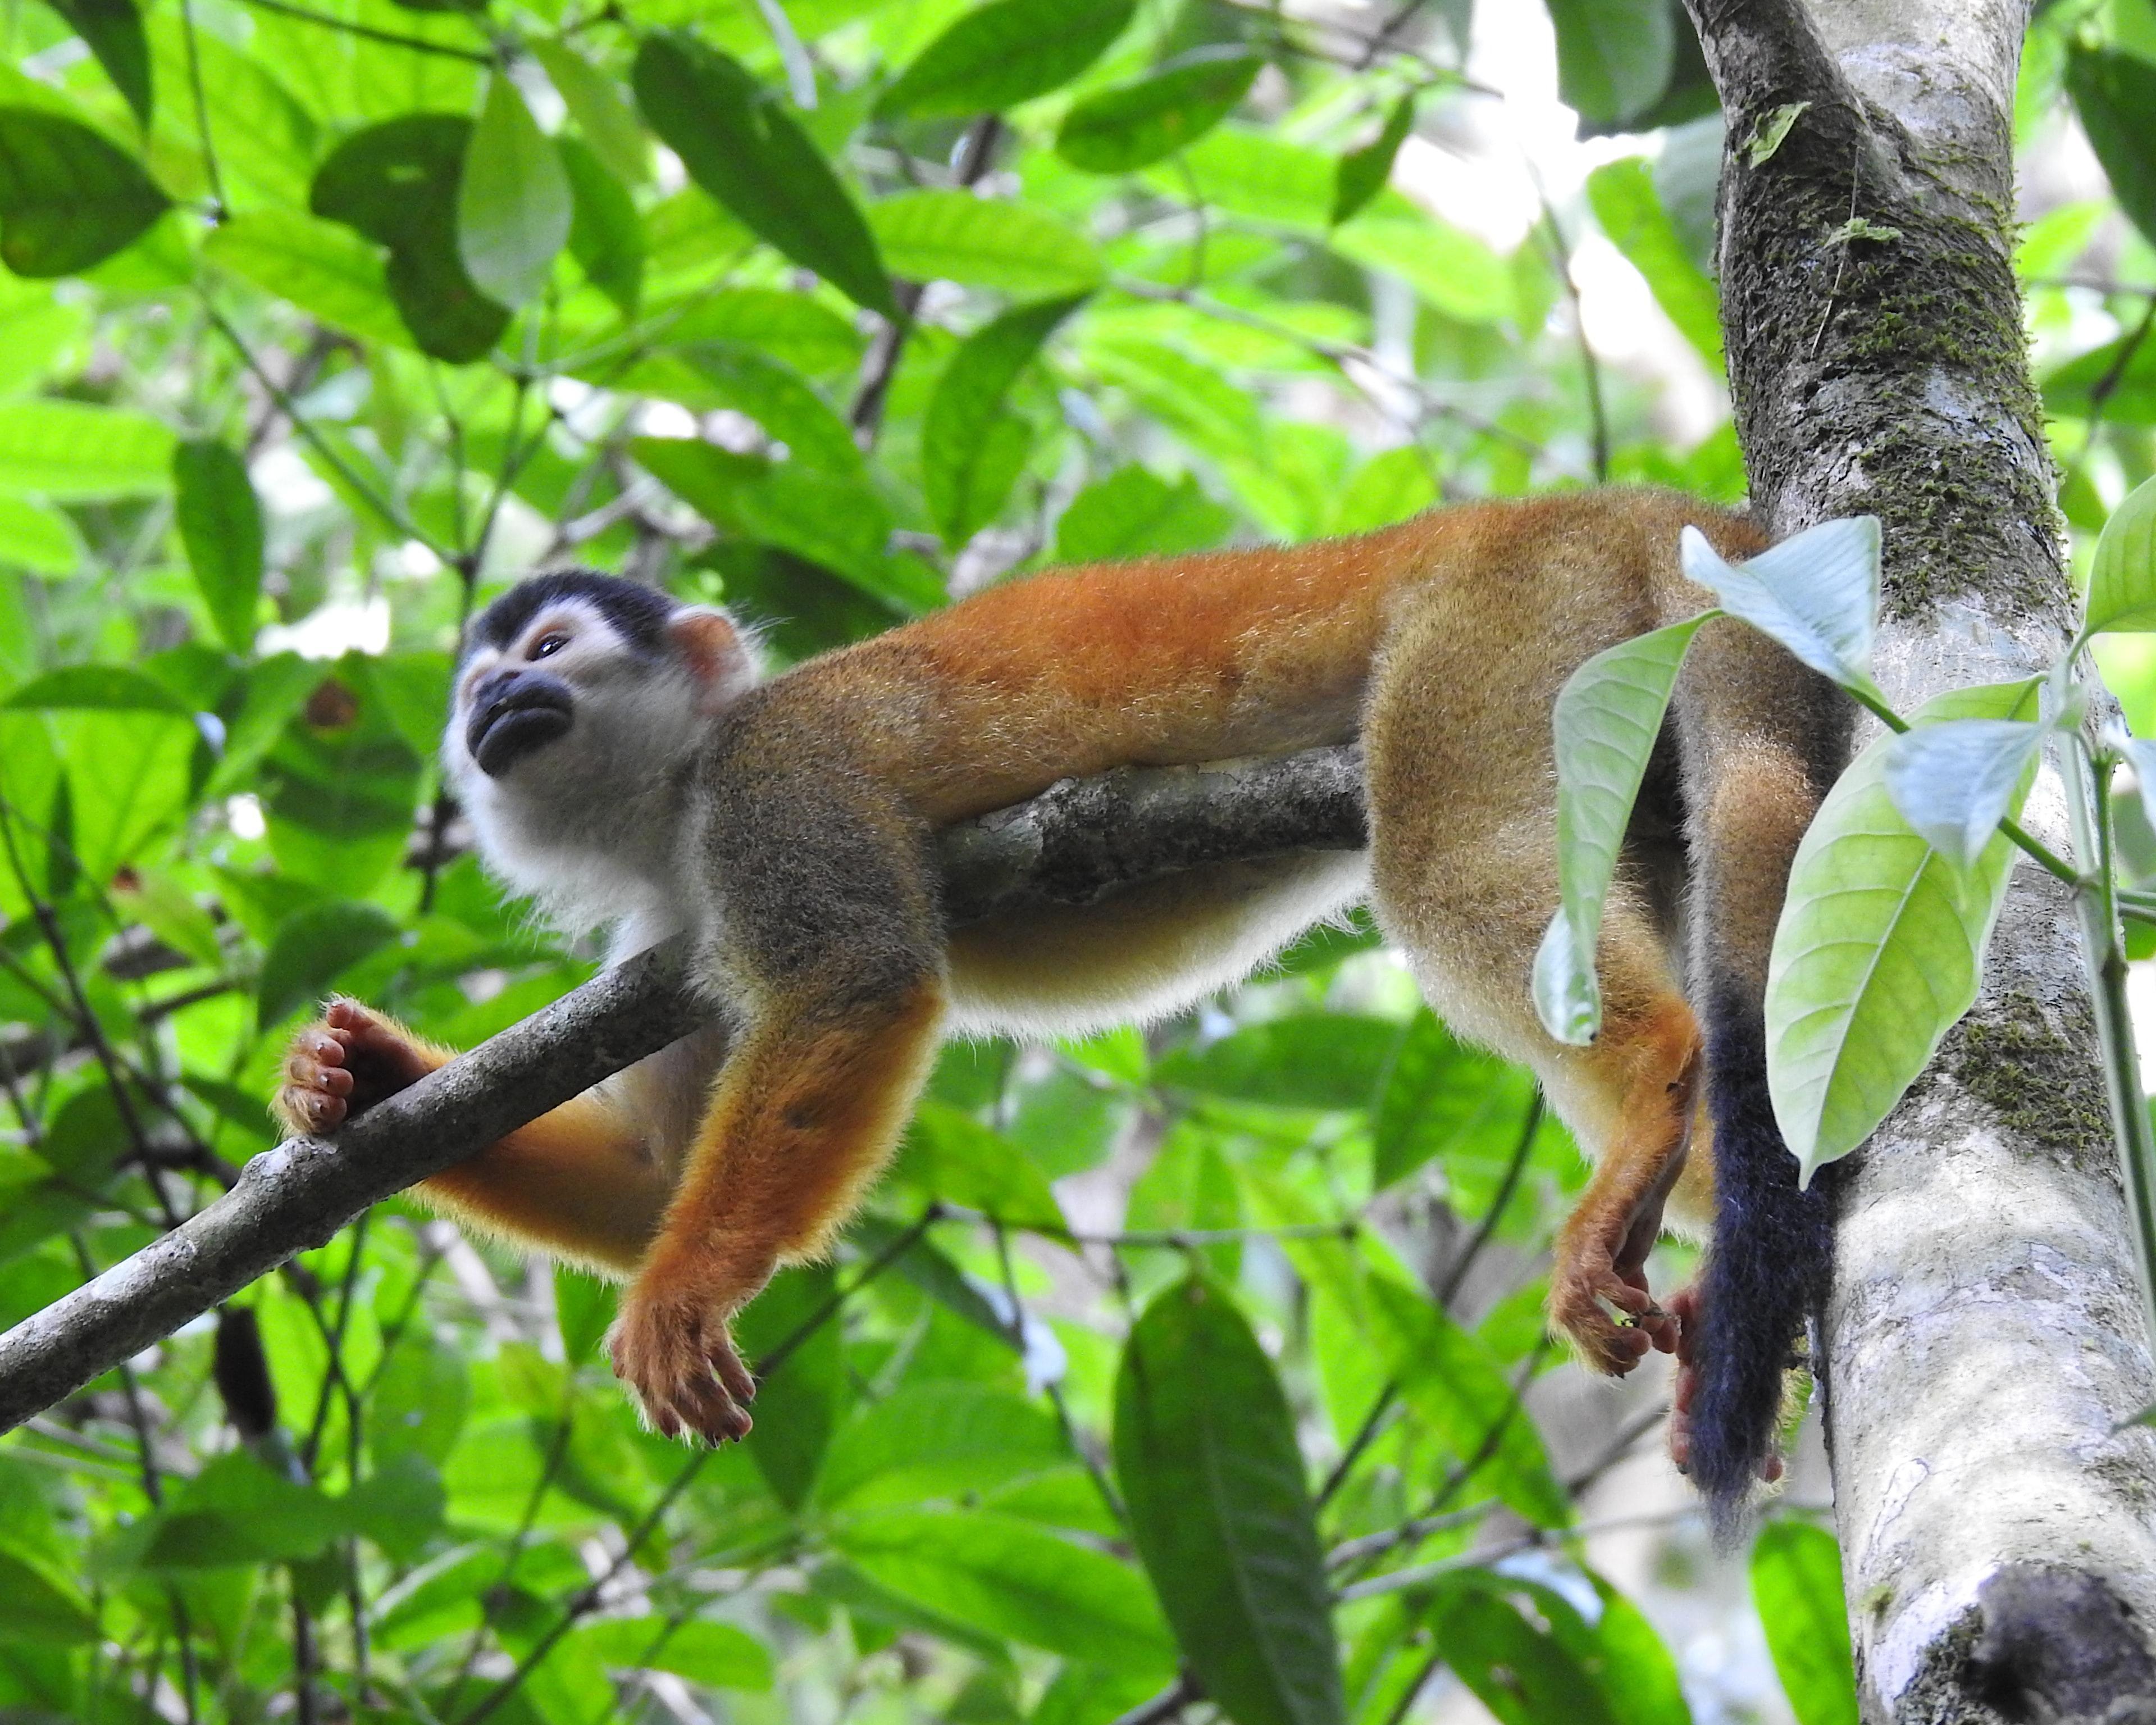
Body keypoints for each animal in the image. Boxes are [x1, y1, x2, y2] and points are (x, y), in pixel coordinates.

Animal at [269, 481, 1845, 1509]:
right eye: (477, 683)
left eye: (543, 657)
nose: (489, 711)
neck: (670, 802)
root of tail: (1593, 499)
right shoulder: (673, 929)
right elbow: (655, 1171)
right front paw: (352, 1077)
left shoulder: (776, 781)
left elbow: (858, 980)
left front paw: (684, 1287)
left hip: (1499, 628)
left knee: (1446, 857)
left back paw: (1647, 1083)